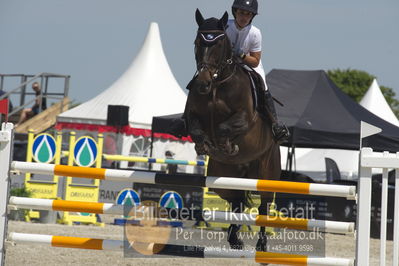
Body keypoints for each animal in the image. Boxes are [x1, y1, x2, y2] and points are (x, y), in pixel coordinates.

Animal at [187, 9, 282, 251]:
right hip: (225, 177)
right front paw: (204, 146)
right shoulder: (191, 117)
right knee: (236, 202)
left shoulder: (245, 119)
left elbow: (223, 128)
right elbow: (197, 130)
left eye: (220, 44)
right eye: (197, 42)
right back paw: (234, 238)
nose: (202, 84)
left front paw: (227, 146)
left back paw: (261, 244)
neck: (217, 84)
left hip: (266, 173)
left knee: (263, 206)